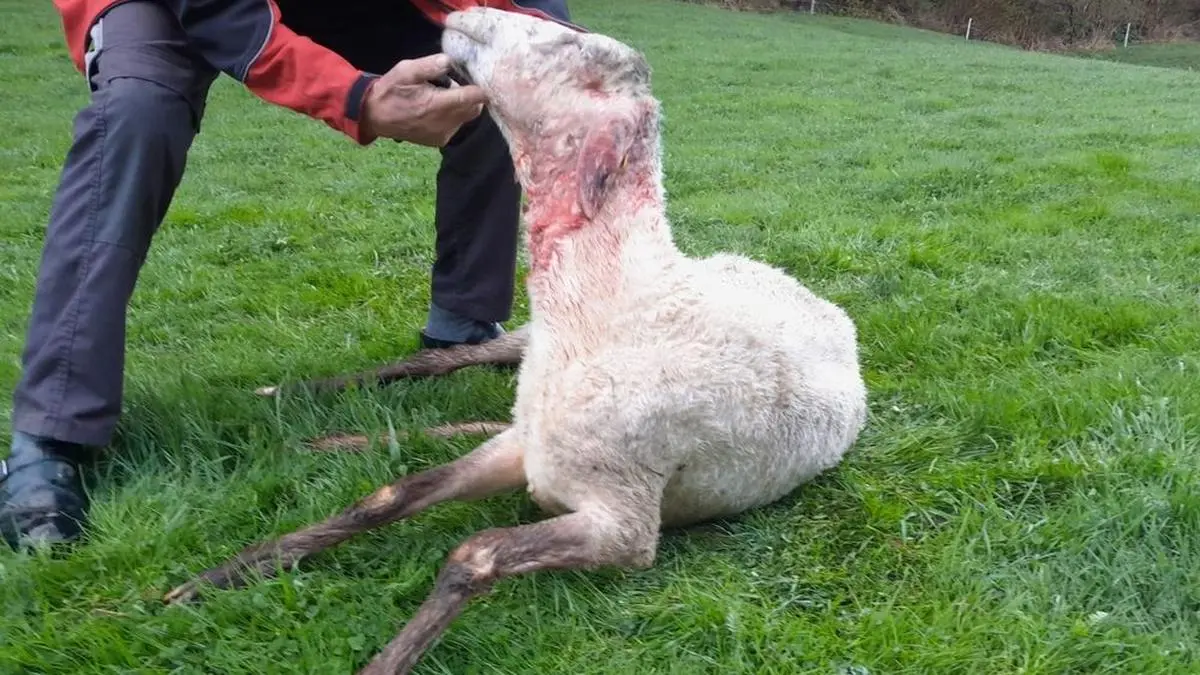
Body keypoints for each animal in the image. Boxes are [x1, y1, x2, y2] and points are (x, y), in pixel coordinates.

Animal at [164, 8, 869, 674]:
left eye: (568, 46)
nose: (457, 14)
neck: (622, 303)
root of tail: (807, 292)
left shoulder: (624, 523)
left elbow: (474, 553)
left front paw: (385, 660)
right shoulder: (521, 448)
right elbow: (389, 497)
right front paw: (210, 581)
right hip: (520, 357)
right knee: (448, 359)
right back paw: (293, 405)